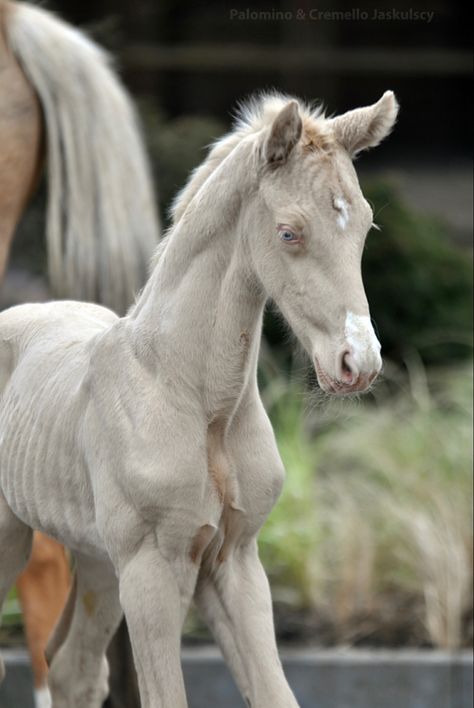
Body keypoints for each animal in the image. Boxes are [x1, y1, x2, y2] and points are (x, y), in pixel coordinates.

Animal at [0, 91, 398, 704]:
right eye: (289, 232)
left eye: (364, 224)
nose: (358, 362)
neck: (197, 402)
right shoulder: (152, 568)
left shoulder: (234, 560)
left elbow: (275, 693)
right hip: (19, 539)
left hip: (96, 558)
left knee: (73, 667)